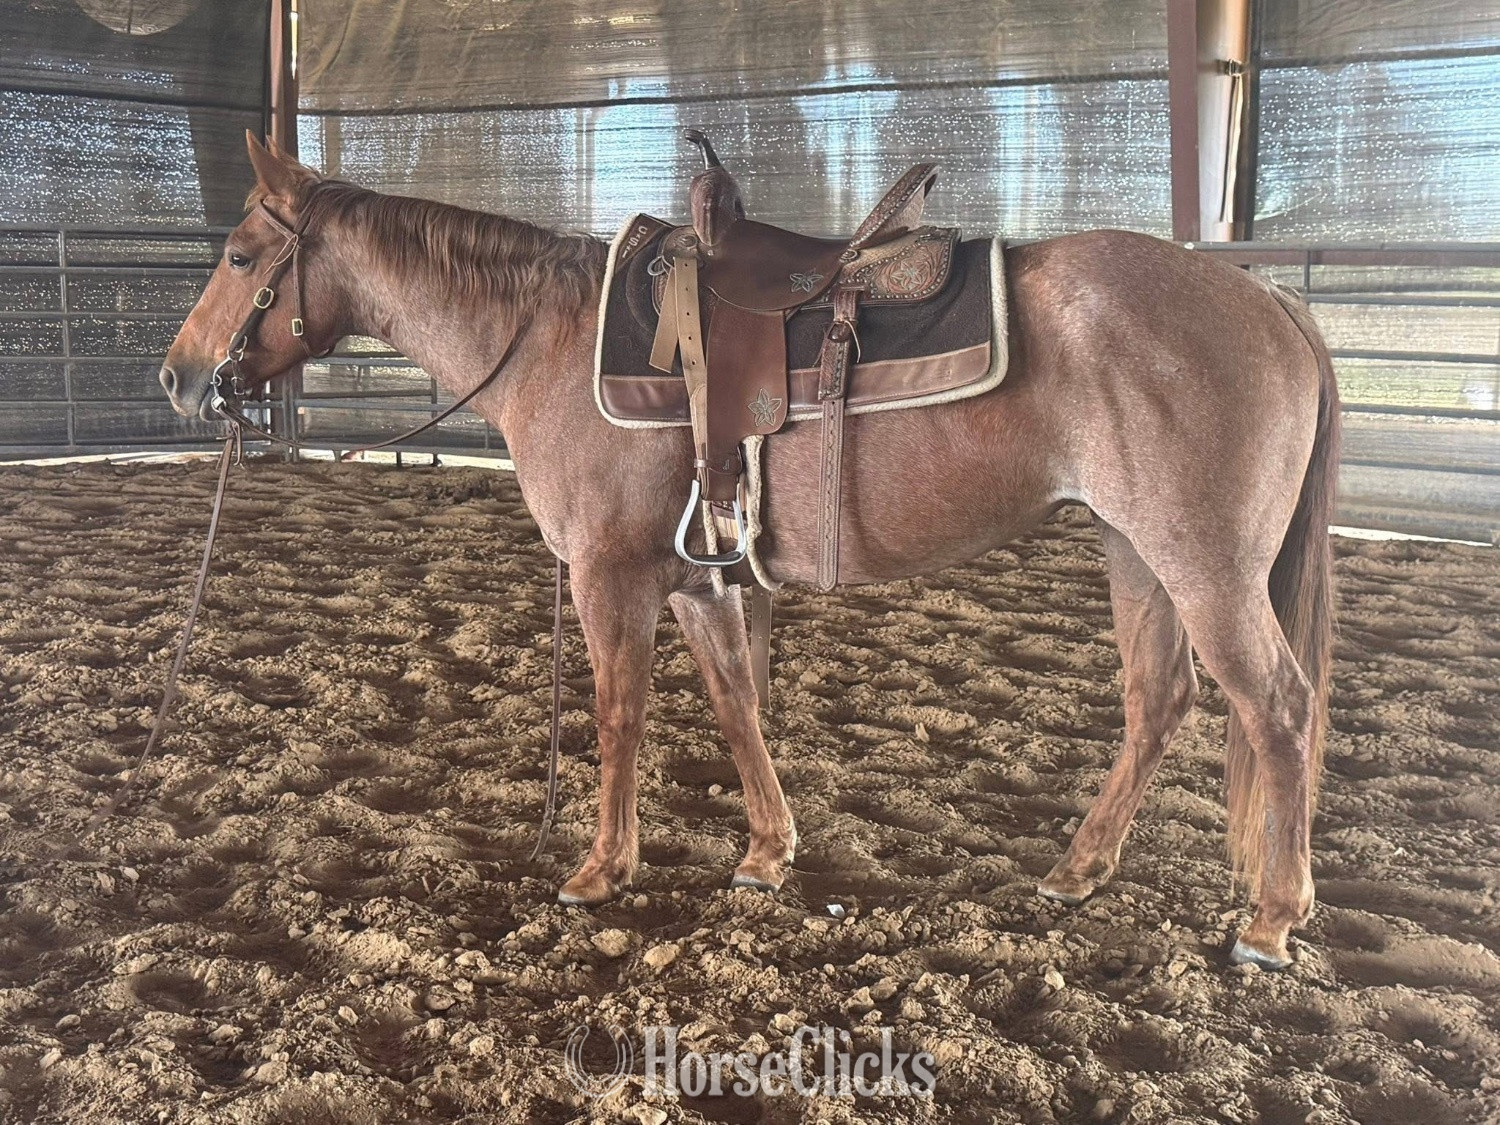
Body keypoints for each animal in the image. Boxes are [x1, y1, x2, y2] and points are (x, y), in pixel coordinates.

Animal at [159, 134, 1339, 970]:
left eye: (238, 254)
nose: (177, 376)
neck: (549, 342)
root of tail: (1271, 302)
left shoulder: (613, 577)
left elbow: (620, 714)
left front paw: (600, 869)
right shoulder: (696, 579)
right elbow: (736, 705)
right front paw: (768, 853)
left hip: (1205, 566)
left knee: (1278, 705)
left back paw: (1273, 920)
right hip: (1134, 550)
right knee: (1159, 698)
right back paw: (1080, 870)